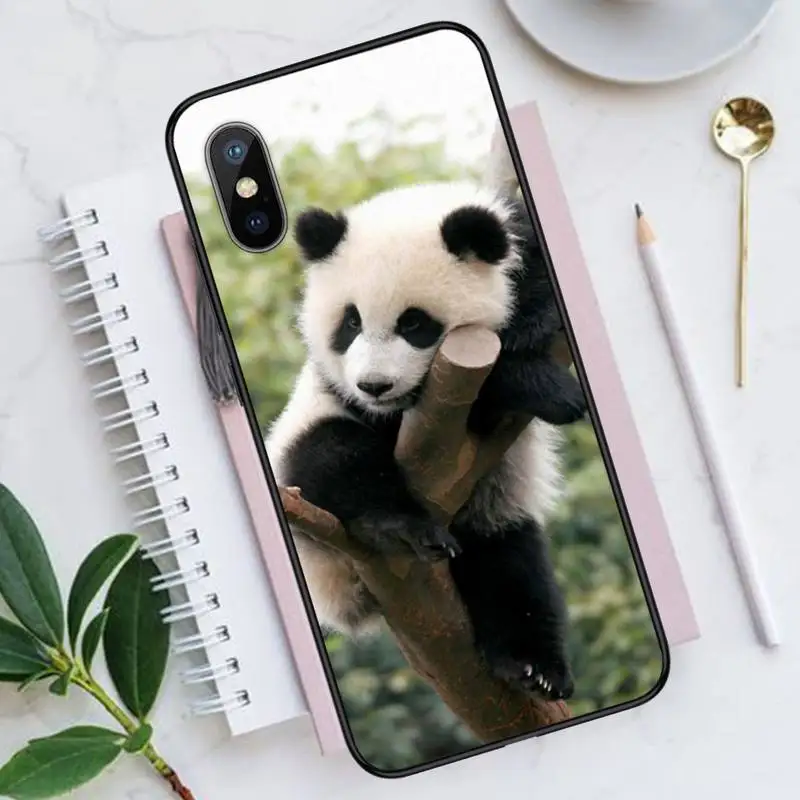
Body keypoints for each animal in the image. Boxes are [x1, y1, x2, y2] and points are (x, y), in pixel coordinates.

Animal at [265, 180, 587, 700]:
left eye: (414, 323)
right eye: (350, 323)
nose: (374, 385)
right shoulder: (351, 399)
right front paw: (548, 389)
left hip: (492, 506)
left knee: (510, 564)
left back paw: (533, 666)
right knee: (331, 457)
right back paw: (400, 526)